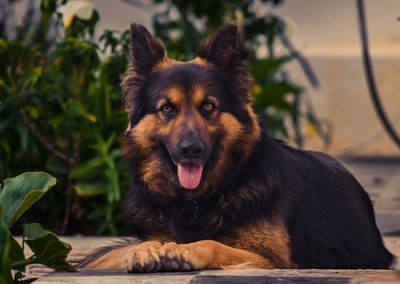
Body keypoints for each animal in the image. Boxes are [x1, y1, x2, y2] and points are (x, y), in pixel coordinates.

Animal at [78, 23, 394, 272]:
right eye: (167, 108)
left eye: (208, 106)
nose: (191, 150)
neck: (196, 201)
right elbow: (126, 247)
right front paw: (144, 250)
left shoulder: (271, 258)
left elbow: (213, 243)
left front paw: (185, 249)